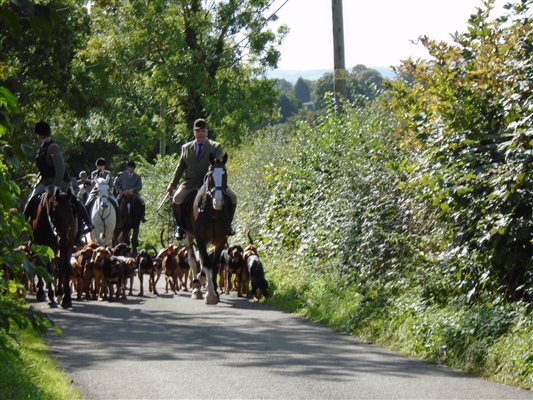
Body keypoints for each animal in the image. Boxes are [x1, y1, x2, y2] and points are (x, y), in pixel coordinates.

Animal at [175, 152, 231, 304]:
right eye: (210, 176)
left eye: (225, 174)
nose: (218, 202)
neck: (213, 213)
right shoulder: (200, 239)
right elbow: (205, 263)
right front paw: (210, 295)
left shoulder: (220, 240)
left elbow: (215, 264)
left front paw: (215, 291)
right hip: (188, 236)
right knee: (193, 261)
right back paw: (196, 288)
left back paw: (201, 280)